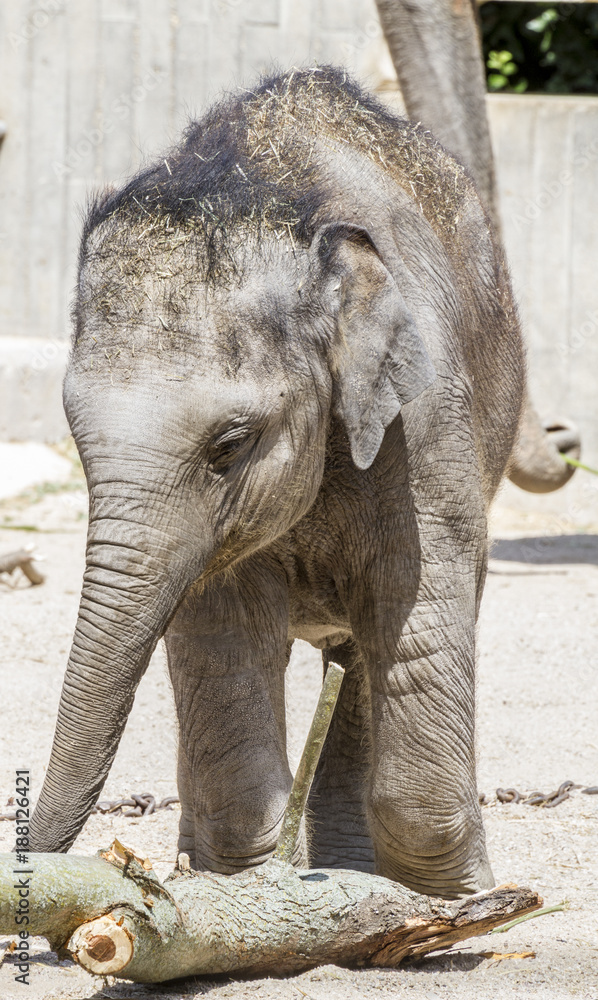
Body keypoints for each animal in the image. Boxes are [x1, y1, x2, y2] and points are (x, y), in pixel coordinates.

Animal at [29, 67, 526, 899]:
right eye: (74, 432)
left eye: (229, 444)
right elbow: (220, 630)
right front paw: (249, 889)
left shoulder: (424, 417)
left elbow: (416, 607)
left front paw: (467, 903)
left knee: (360, 654)